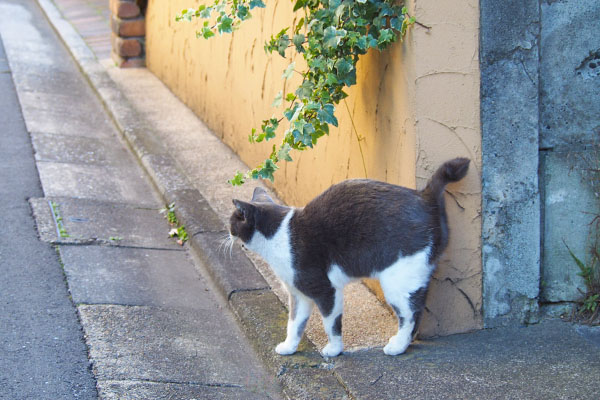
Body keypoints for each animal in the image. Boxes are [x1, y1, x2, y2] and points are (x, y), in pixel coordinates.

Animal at [229, 156, 468, 356]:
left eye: (232, 221)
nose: (228, 232)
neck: (278, 236)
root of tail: (425, 197)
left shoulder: (325, 290)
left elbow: (331, 324)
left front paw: (334, 350)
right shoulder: (299, 294)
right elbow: (294, 324)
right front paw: (289, 347)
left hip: (398, 281)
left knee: (411, 314)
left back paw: (397, 347)